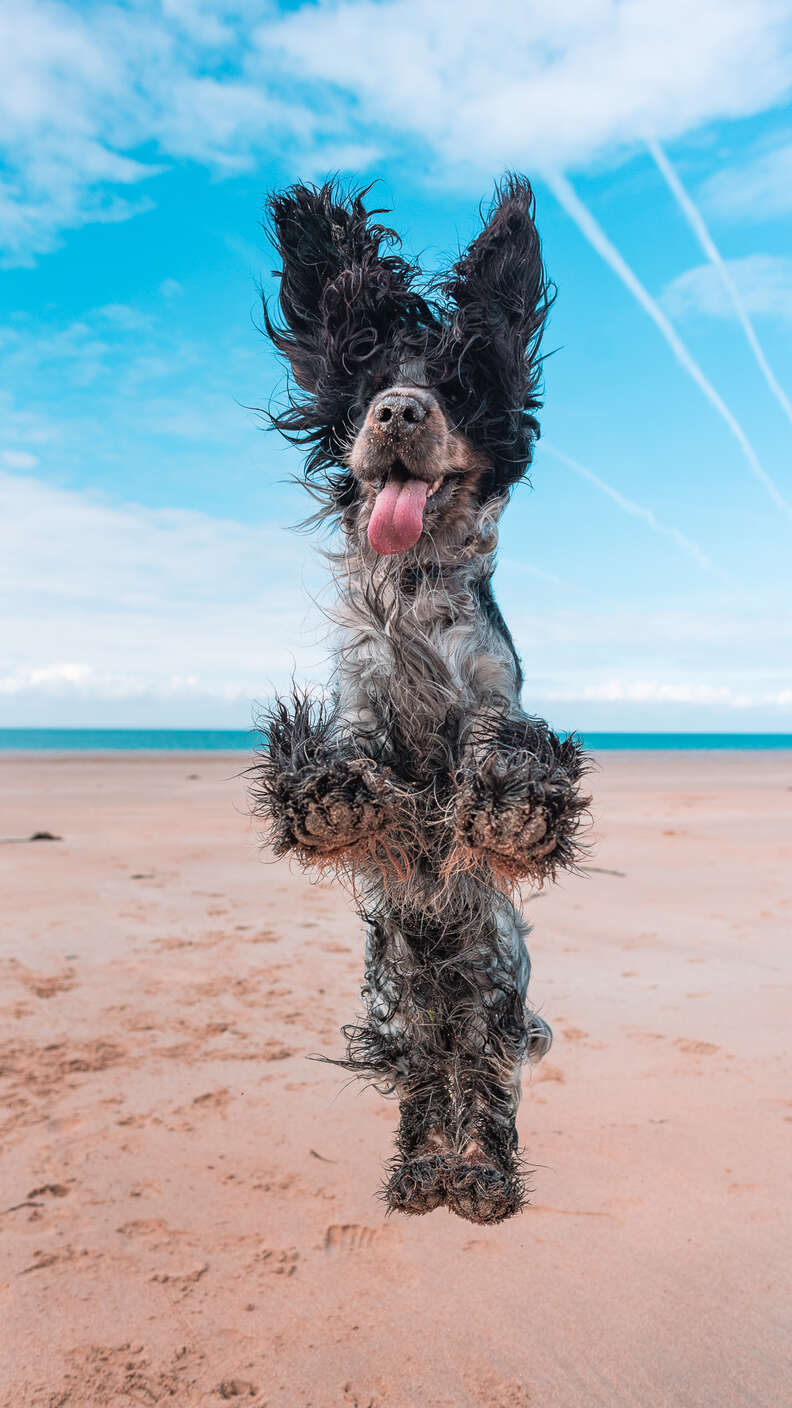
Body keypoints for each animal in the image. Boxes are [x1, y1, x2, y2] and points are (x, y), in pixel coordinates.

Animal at [250, 176, 586, 1222]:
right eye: (368, 387)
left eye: (456, 385)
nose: (399, 413)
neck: (411, 587)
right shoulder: (357, 694)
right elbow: (347, 759)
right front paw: (331, 800)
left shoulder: (492, 693)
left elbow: (505, 754)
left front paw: (513, 811)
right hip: (399, 1005)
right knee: (424, 1087)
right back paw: (419, 1171)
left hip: (496, 999)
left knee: (484, 1090)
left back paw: (476, 1177)